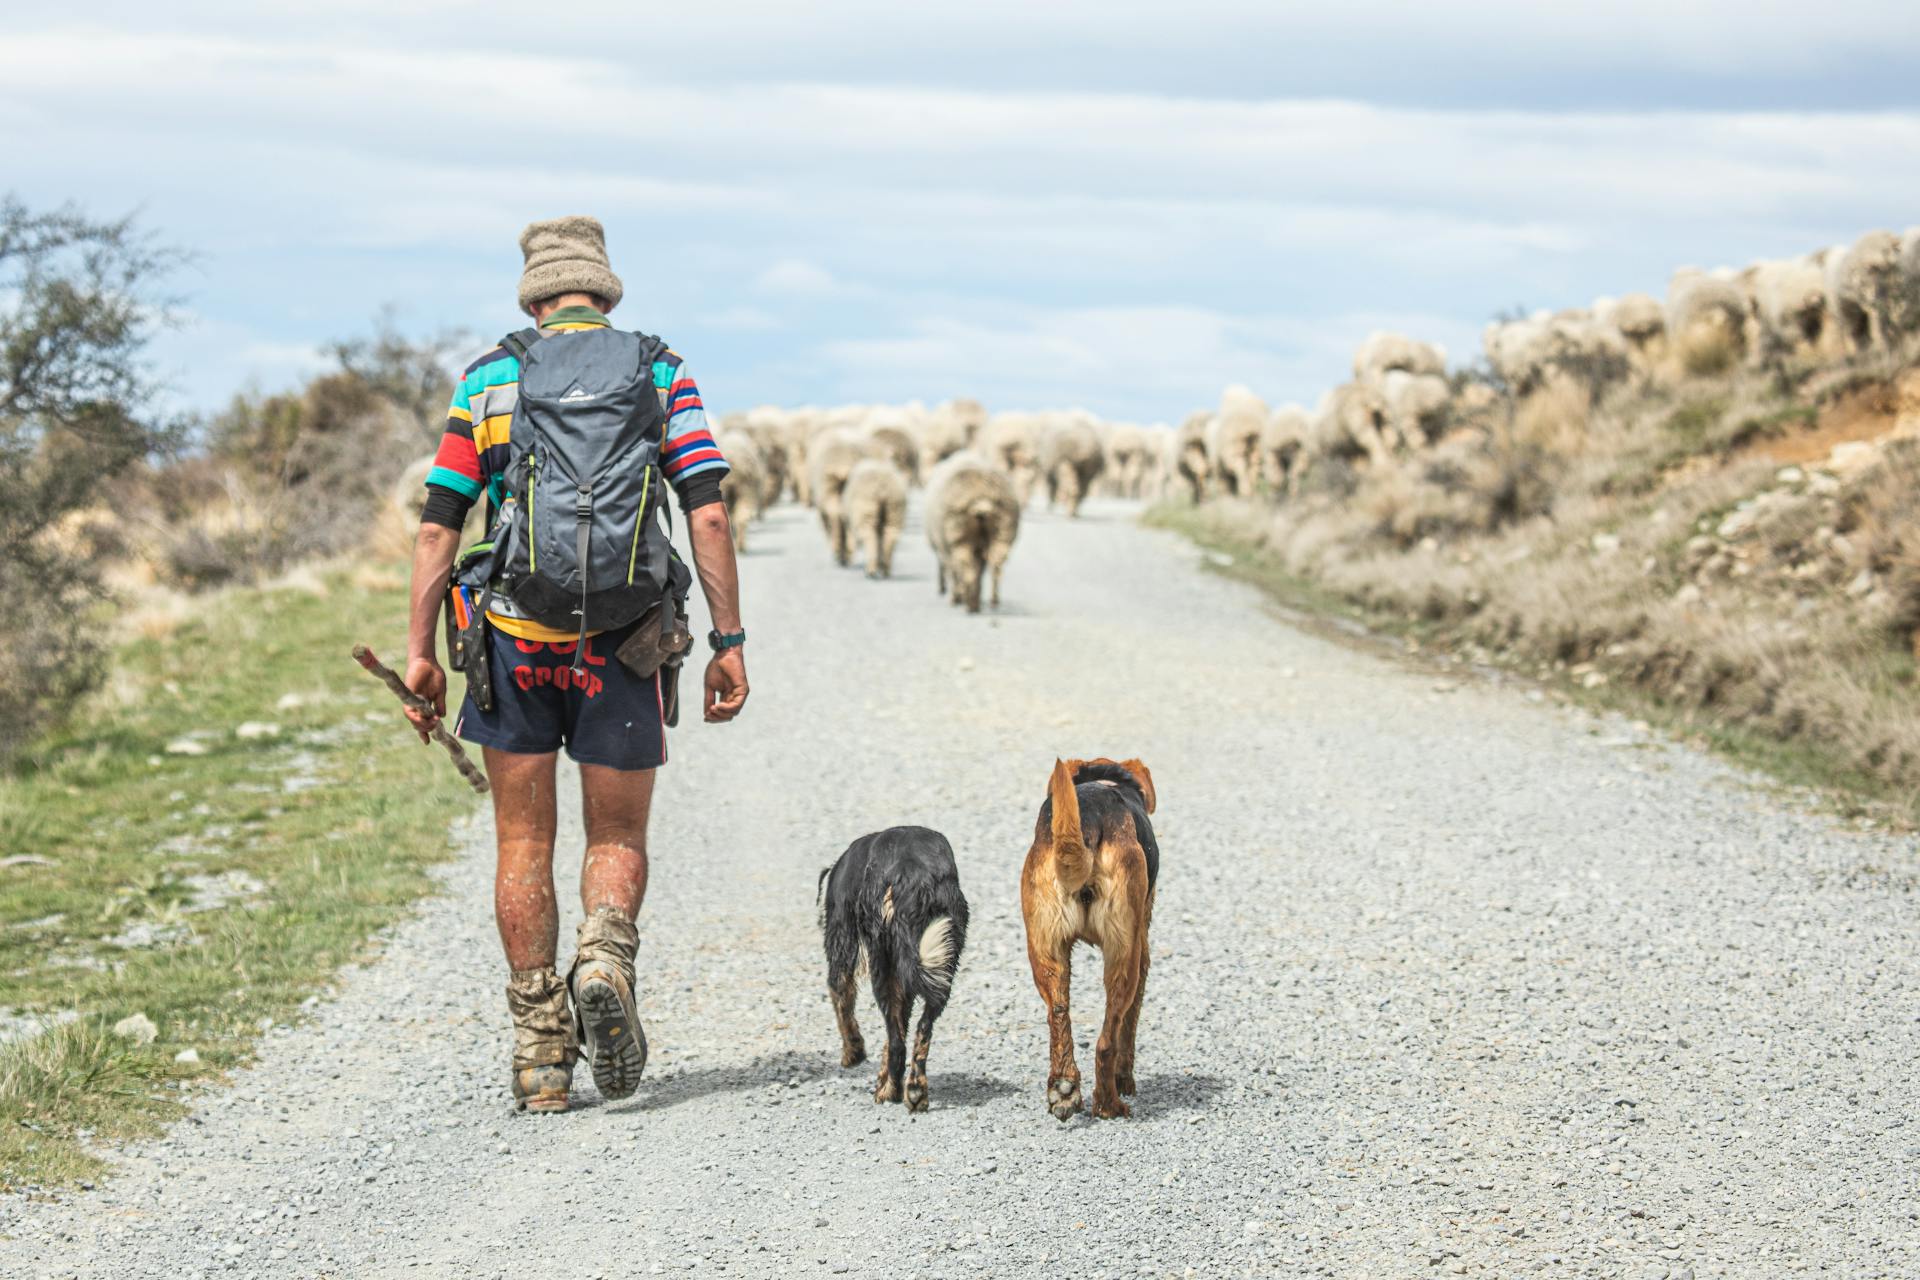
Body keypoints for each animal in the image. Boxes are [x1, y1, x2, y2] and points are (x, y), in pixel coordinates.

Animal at [814, 832, 967, 1113]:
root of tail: (914, 876)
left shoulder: (842, 950)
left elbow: (843, 1009)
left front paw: (853, 1053)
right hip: (942, 965)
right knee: (921, 1031)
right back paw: (915, 1090)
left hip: (880, 965)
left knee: (897, 1045)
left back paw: (890, 1092)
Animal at [925, 449, 1021, 614]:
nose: (942, 589)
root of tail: (982, 501)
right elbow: (979, 572)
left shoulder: (946, 549)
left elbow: (955, 572)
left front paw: (957, 596)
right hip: (1003, 532)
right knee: (996, 566)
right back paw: (992, 600)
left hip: (959, 536)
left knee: (965, 567)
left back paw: (968, 603)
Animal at [1021, 759, 1152, 1120]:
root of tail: (1089, 822)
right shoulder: (1142, 951)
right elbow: (1128, 1028)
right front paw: (1125, 1080)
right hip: (1124, 957)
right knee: (1107, 1039)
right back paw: (1109, 1103)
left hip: (1046, 954)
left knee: (1058, 1015)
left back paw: (1064, 1088)